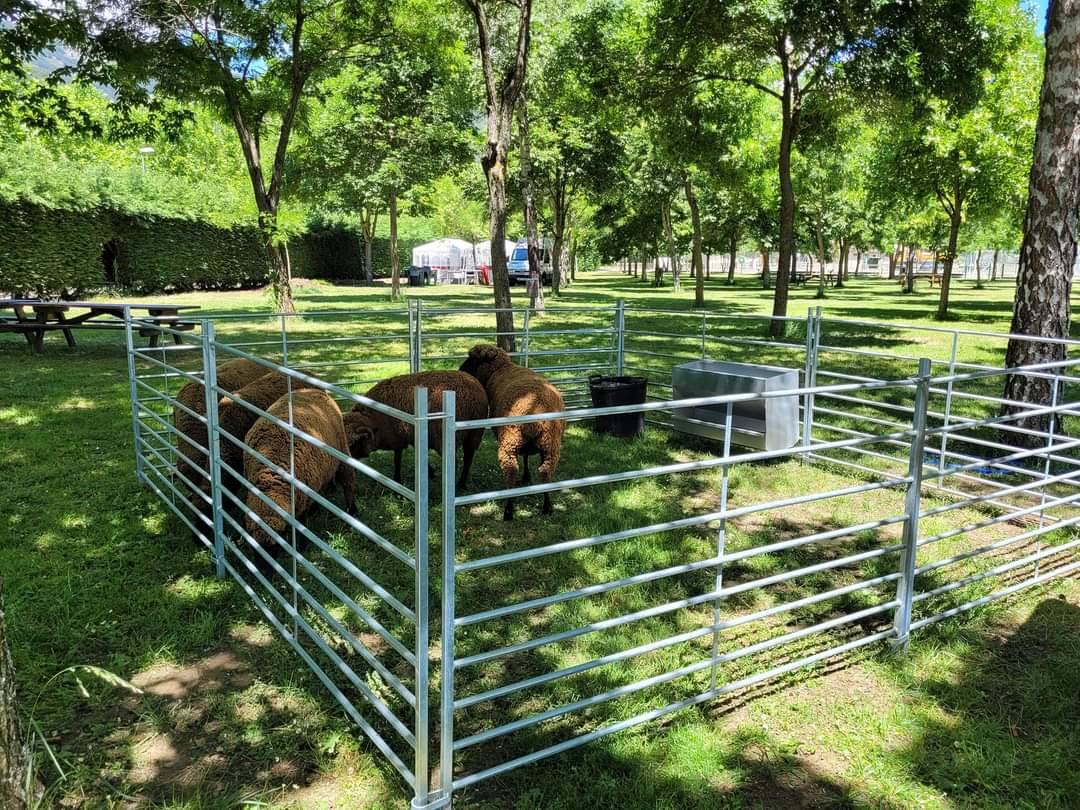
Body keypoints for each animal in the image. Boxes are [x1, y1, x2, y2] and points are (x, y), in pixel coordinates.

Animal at [241, 388, 356, 557]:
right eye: (253, 548)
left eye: (276, 546)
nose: (262, 567)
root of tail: (312, 390)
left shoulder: (303, 498)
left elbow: (301, 523)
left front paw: (302, 546)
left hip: (341, 449)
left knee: (348, 481)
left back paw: (352, 511)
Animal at [343, 371, 488, 492]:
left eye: (353, 445)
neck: (374, 418)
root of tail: (475, 394)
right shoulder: (407, 436)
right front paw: (430, 472)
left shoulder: (398, 437)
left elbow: (397, 460)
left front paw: (397, 481)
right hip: (474, 432)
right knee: (468, 458)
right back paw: (462, 484)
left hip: (448, 437)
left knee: (456, 463)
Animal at [460, 341, 570, 520]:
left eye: (474, 359)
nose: (461, 369)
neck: (500, 369)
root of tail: (533, 415)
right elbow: (526, 457)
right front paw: (527, 477)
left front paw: (525, 478)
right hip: (550, 446)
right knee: (546, 474)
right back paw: (547, 507)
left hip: (509, 444)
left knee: (511, 474)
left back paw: (508, 511)